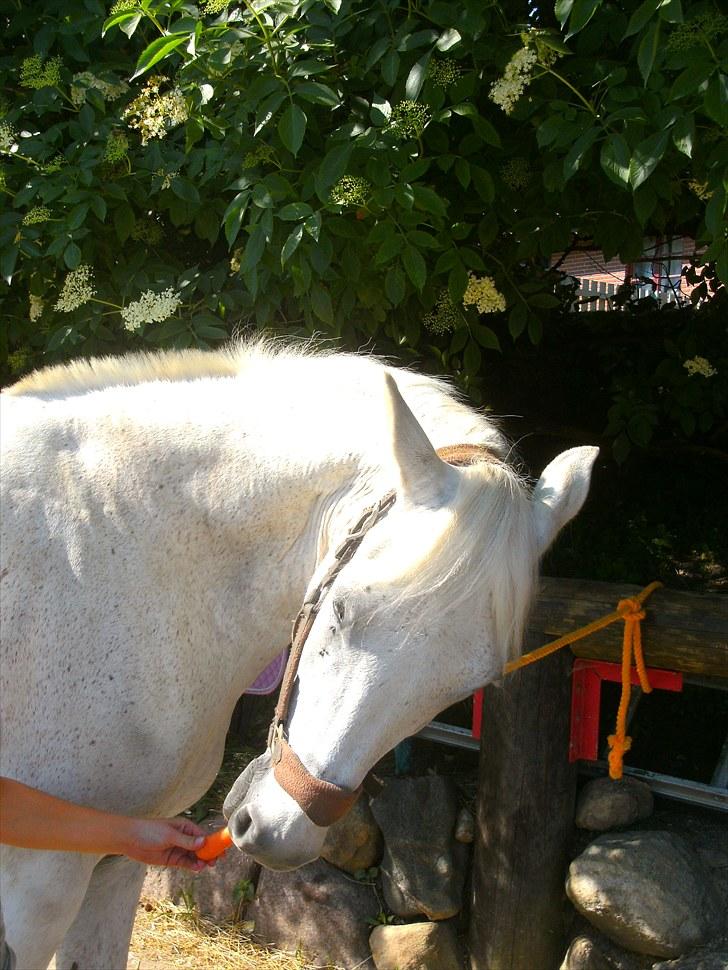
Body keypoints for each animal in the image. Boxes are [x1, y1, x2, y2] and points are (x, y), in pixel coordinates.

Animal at [0, 338, 596, 960]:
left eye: (468, 687)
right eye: (342, 610)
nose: (278, 833)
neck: (112, 559)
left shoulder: (118, 859)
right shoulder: (36, 882)